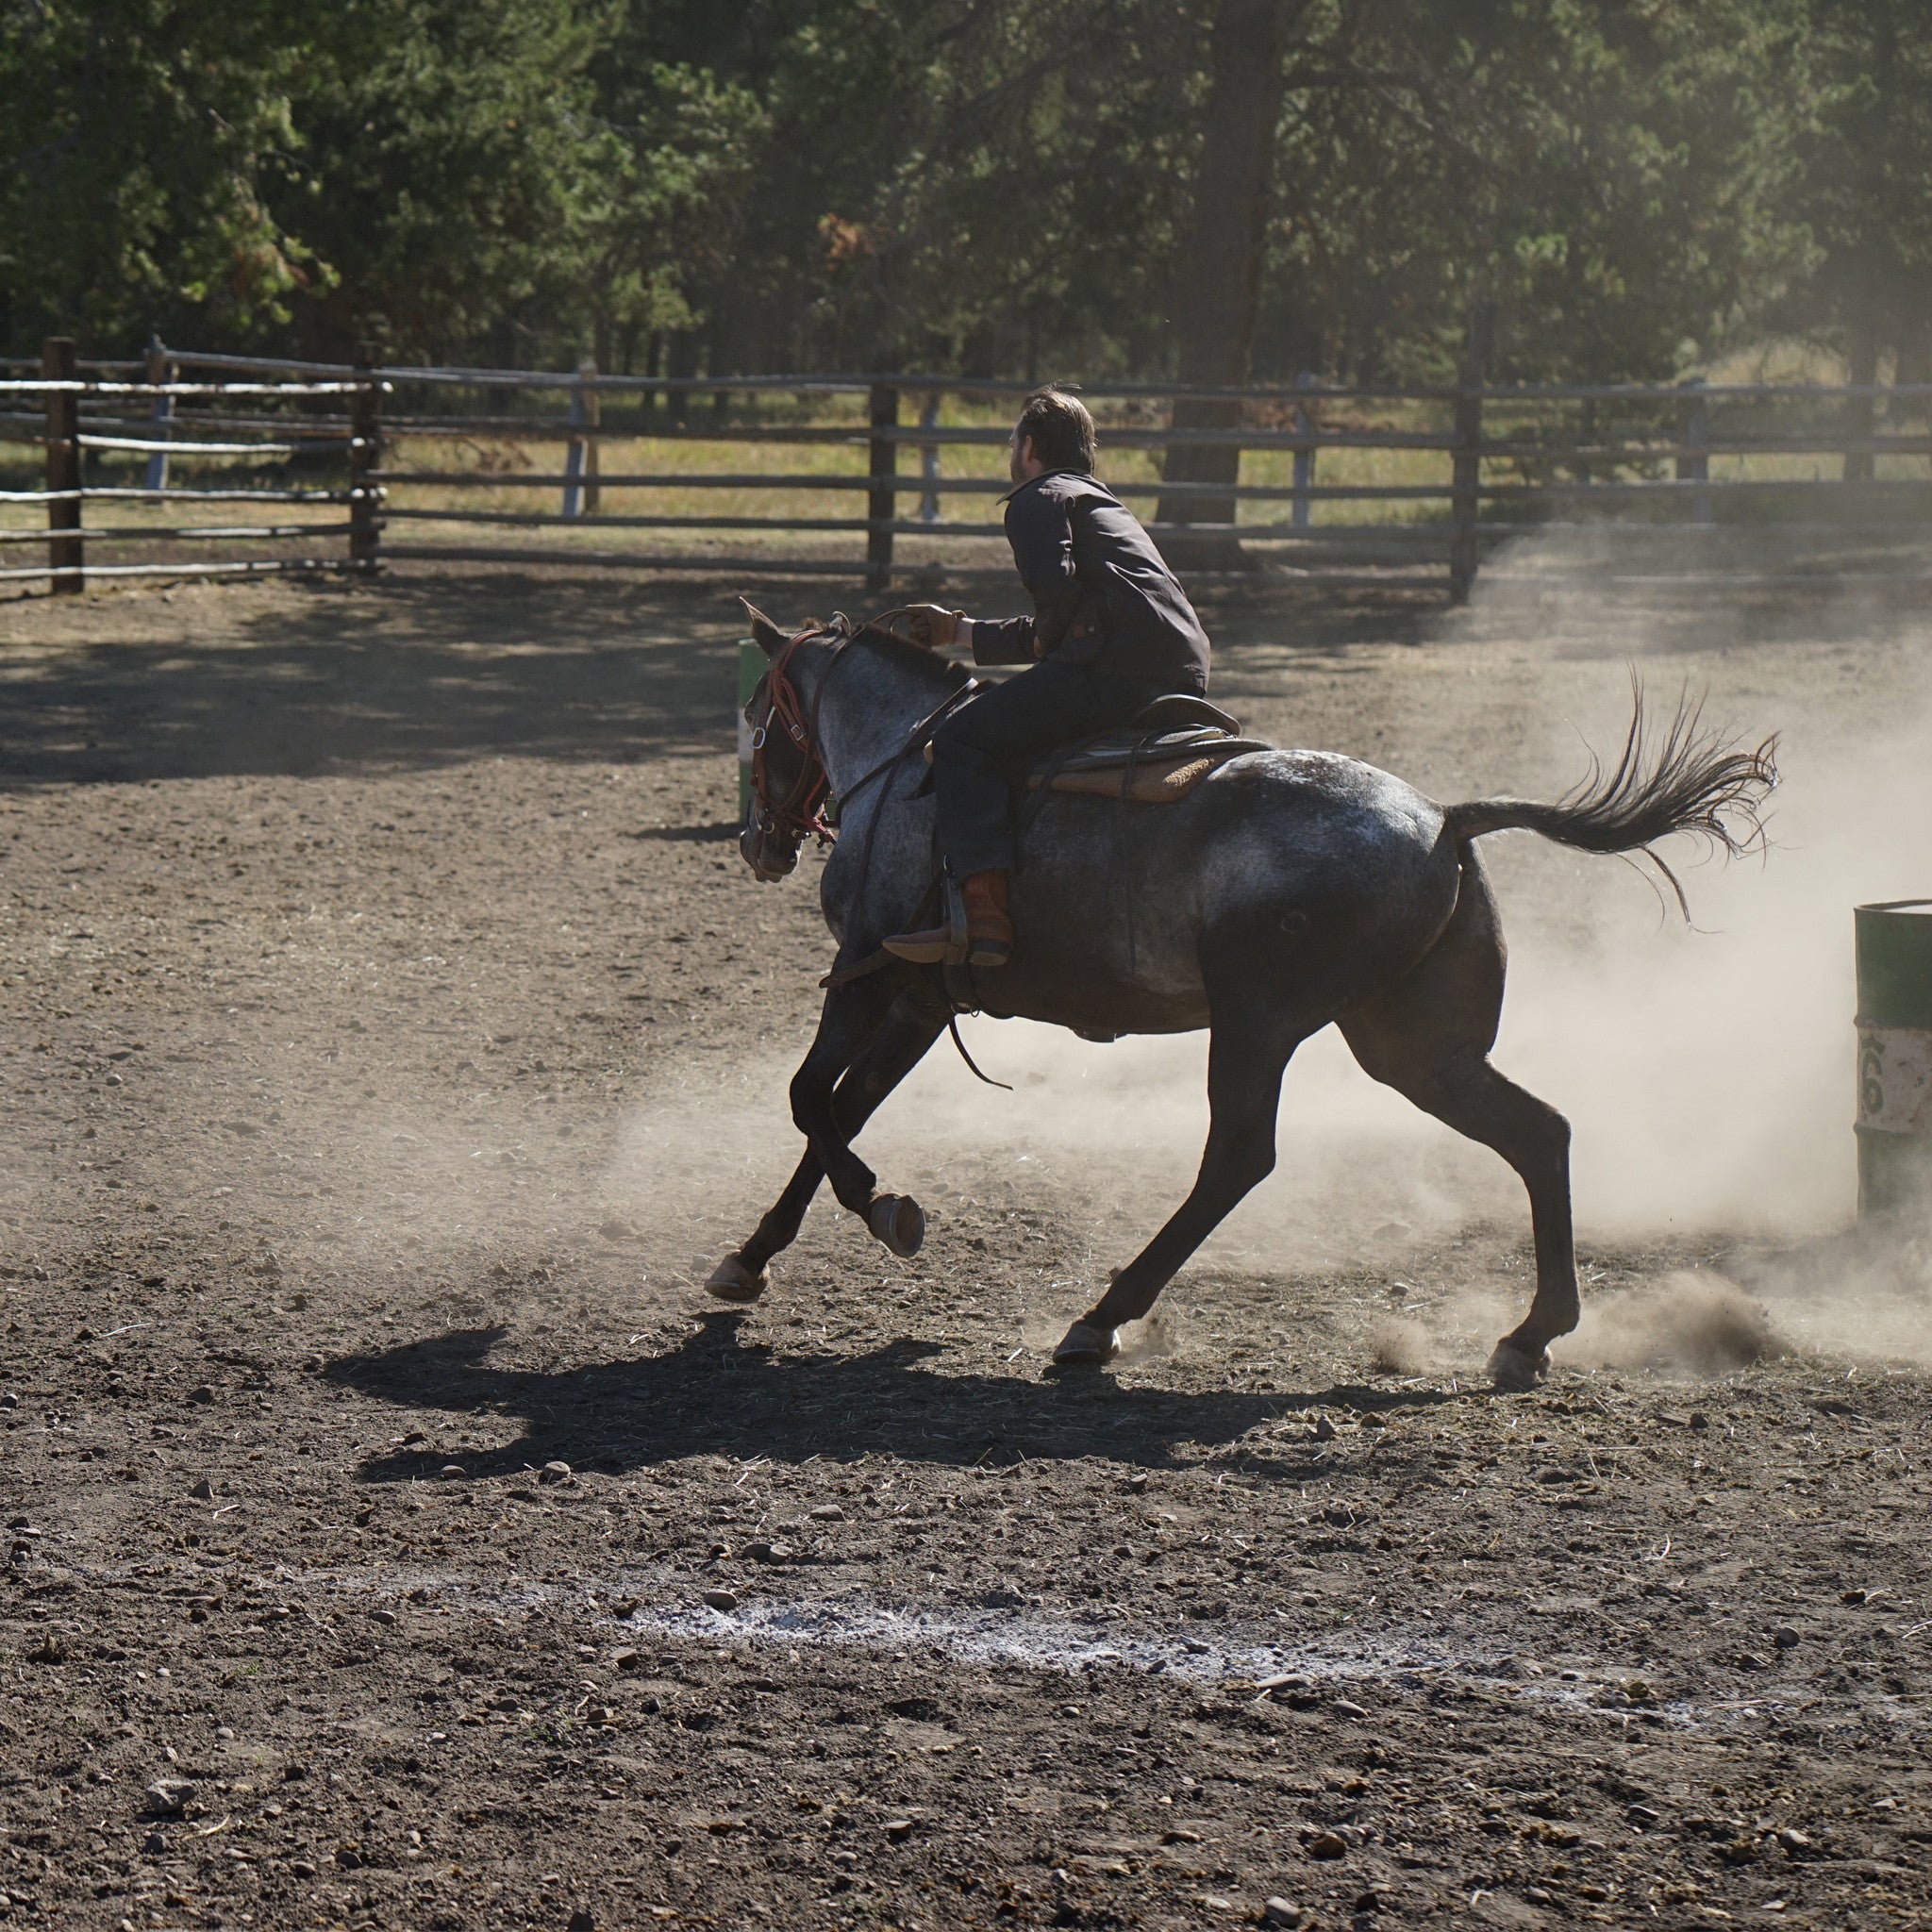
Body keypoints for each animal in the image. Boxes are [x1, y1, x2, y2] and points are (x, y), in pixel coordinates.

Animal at [703, 607, 1769, 1391]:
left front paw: (883, 1210)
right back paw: (1529, 1334)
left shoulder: (868, 975)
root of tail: (1445, 819)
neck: (903, 767)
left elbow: (811, 1101)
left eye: (758, 715)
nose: (758, 844)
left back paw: (1100, 1319)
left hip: (1261, 1023)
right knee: (1538, 1132)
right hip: (1413, 1046)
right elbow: (840, 1110)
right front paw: (752, 1256)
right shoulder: (921, 1002)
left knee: (1238, 1157)